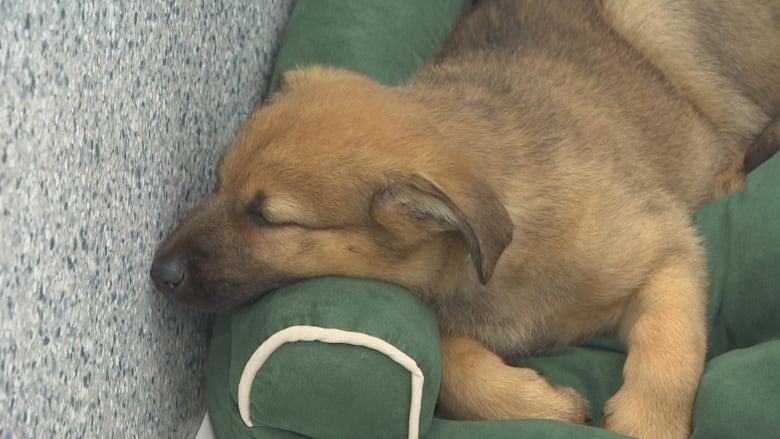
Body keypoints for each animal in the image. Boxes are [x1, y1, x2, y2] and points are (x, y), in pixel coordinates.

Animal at [151, 1, 780, 438]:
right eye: (216, 182)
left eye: (268, 218)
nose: (159, 273)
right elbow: (452, 361)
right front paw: (544, 405)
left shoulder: (669, 246)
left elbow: (669, 343)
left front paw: (647, 423)